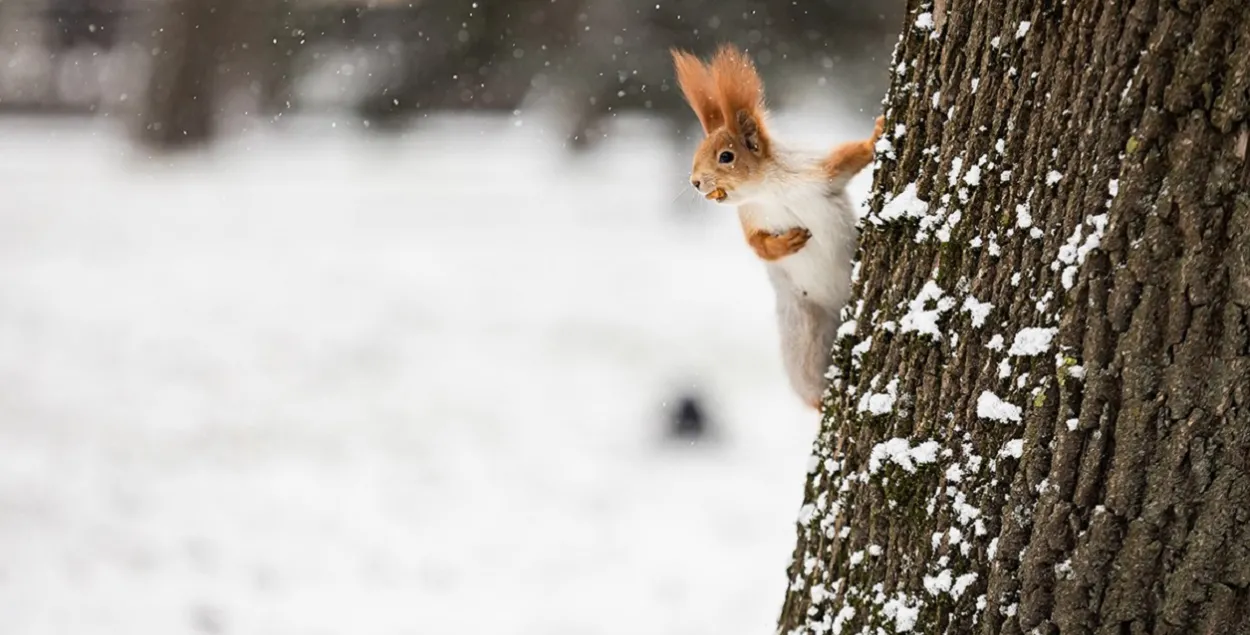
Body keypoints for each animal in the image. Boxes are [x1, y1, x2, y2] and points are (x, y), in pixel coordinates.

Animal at [670, 45, 885, 412]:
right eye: (698, 152)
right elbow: (757, 245)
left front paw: (878, 133)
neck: (767, 190)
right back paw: (821, 400)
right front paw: (788, 243)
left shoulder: (816, 173)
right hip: (804, 335)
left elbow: (850, 157)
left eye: (726, 156)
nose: (695, 182)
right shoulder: (750, 217)